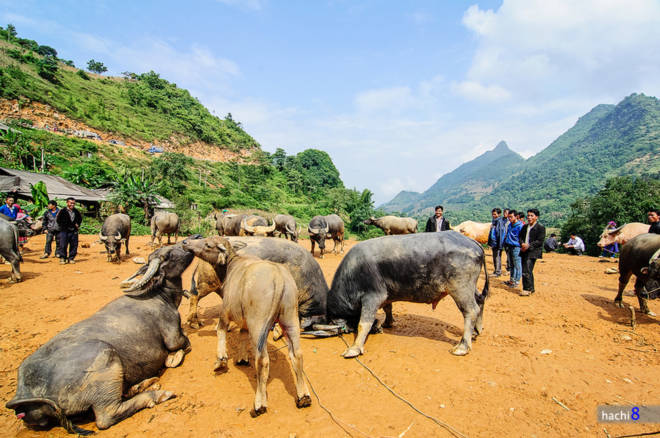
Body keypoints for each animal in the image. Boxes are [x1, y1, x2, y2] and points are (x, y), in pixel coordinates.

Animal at [5, 243, 197, 434]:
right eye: (168, 254)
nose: (190, 241)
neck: (159, 295)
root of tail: (25, 392)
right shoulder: (173, 336)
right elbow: (184, 344)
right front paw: (173, 358)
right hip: (106, 359)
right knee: (107, 415)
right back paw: (157, 394)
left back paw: (141, 386)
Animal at [182, 236, 314, 418]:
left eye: (208, 244)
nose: (185, 243)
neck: (230, 267)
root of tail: (279, 278)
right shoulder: (244, 320)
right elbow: (242, 334)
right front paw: (242, 358)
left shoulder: (225, 312)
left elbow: (221, 330)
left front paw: (221, 361)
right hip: (290, 319)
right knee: (297, 355)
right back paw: (304, 396)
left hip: (259, 324)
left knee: (263, 361)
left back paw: (259, 404)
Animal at [326, 231, 488, 358]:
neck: (352, 273)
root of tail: (473, 242)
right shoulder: (386, 295)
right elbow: (388, 308)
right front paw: (387, 323)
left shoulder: (372, 296)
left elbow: (363, 323)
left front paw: (353, 349)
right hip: (470, 287)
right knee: (480, 300)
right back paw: (476, 331)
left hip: (460, 288)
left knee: (471, 310)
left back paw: (462, 347)